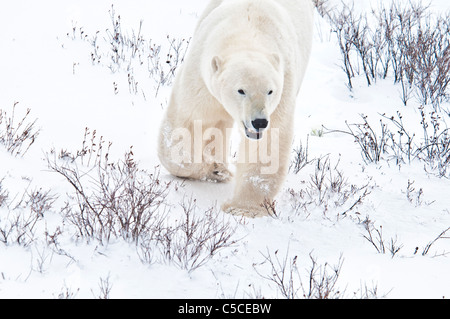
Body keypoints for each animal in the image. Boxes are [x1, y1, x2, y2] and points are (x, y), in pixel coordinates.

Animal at [158, 0, 312, 218]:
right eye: (241, 90)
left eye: (270, 91)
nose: (259, 121)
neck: (248, 32)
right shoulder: (202, 76)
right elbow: (189, 121)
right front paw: (212, 169)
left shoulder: (284, 84)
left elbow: (267, 145)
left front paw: (243, 208)